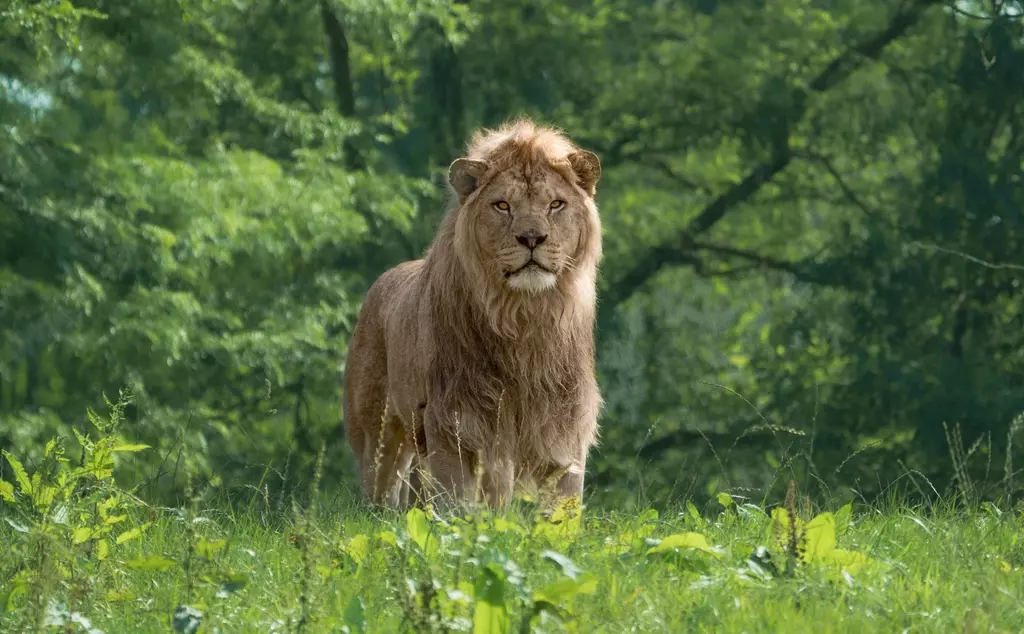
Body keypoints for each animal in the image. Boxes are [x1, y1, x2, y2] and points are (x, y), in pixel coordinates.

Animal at [344, 117, 602, 505]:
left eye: (556, 204)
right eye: (502, 206)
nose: (532, 238)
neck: (524, 316)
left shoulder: (563, 424)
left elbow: (561, 507)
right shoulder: (454, 422)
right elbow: (458, 506)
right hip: (377, 436)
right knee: (380, 491)